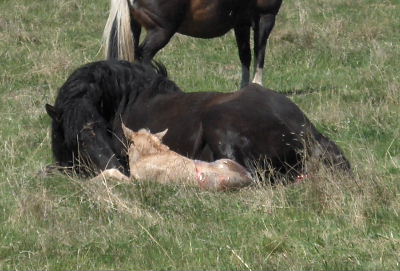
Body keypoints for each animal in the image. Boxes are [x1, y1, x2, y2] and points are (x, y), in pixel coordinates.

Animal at [101, 0, 282, 86]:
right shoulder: (266, 16)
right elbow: (260, 52)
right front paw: (257, 84)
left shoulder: (241, 23)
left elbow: (245, 56)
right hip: (161, 32)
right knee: (144, 55)